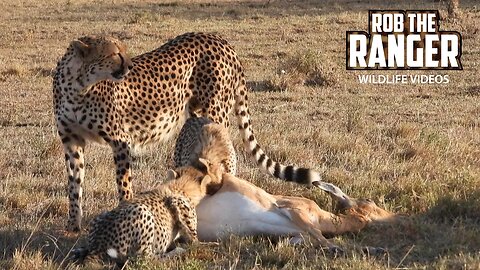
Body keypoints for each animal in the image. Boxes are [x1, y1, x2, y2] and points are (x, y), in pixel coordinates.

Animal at [54, 31, 328, 230]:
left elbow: (123, 184)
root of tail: (220, 39)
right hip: (196, 112)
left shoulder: (121, 141)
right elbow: (74, 186)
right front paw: (73, 225)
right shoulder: (72, 142)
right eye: (115, 54)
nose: (130, 66)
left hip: (215, 112)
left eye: (124, 51)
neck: (78, 86)